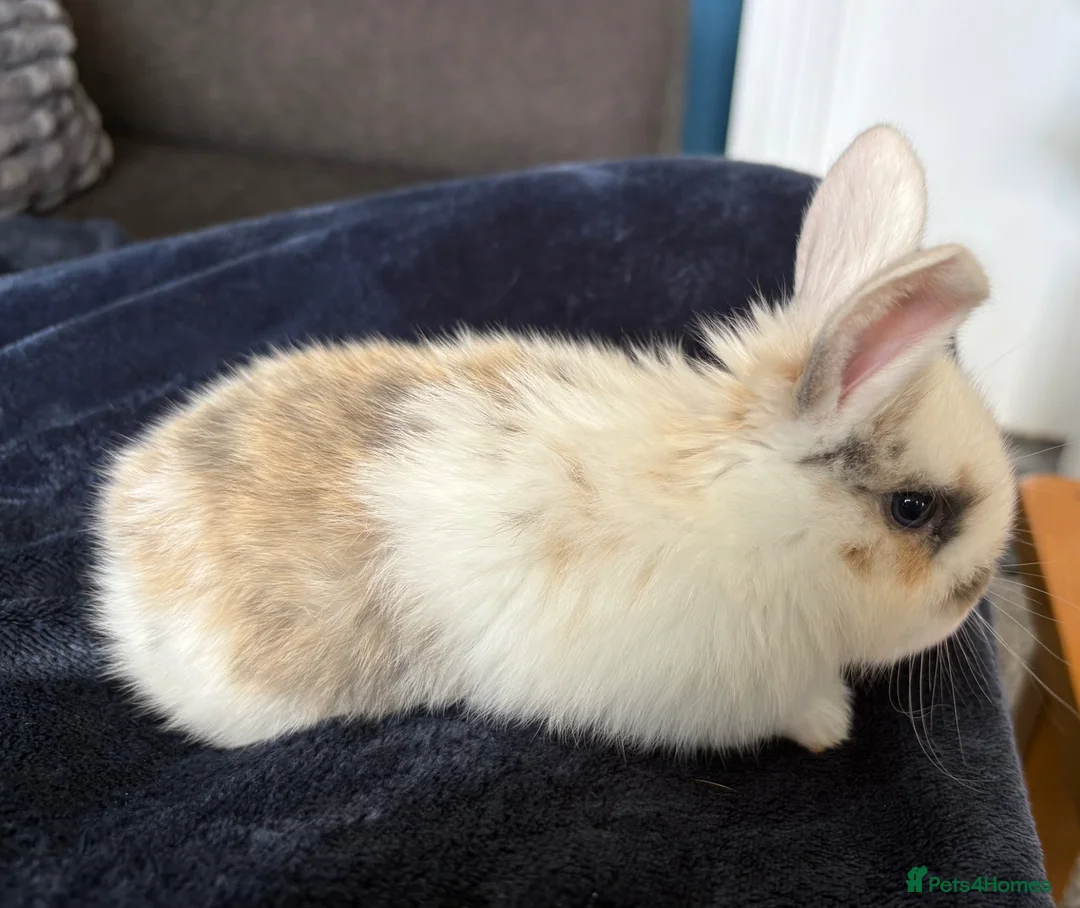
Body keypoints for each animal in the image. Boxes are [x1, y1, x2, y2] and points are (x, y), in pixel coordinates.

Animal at [91, 124, 1016, 751]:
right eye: (912, 510)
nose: (975, 594)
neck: (766, 516)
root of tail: (121, 526)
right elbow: (797, 708)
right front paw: (831, 726)